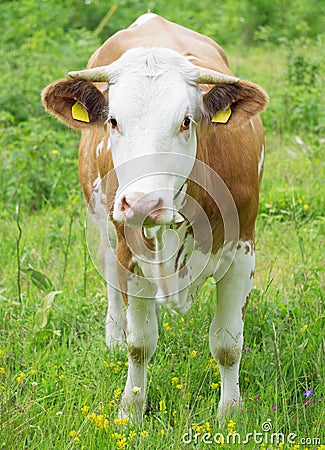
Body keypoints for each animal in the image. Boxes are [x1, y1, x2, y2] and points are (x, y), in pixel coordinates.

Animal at [41, 12, 268, 424]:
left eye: (186, 121)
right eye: (113, 121)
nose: (143, 203)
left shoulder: (243, 250)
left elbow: (227, 343)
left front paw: (230, 412)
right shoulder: (129, 252)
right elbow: (141, 343)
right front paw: (131, 408)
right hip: (103, 226)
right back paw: (114, 334)